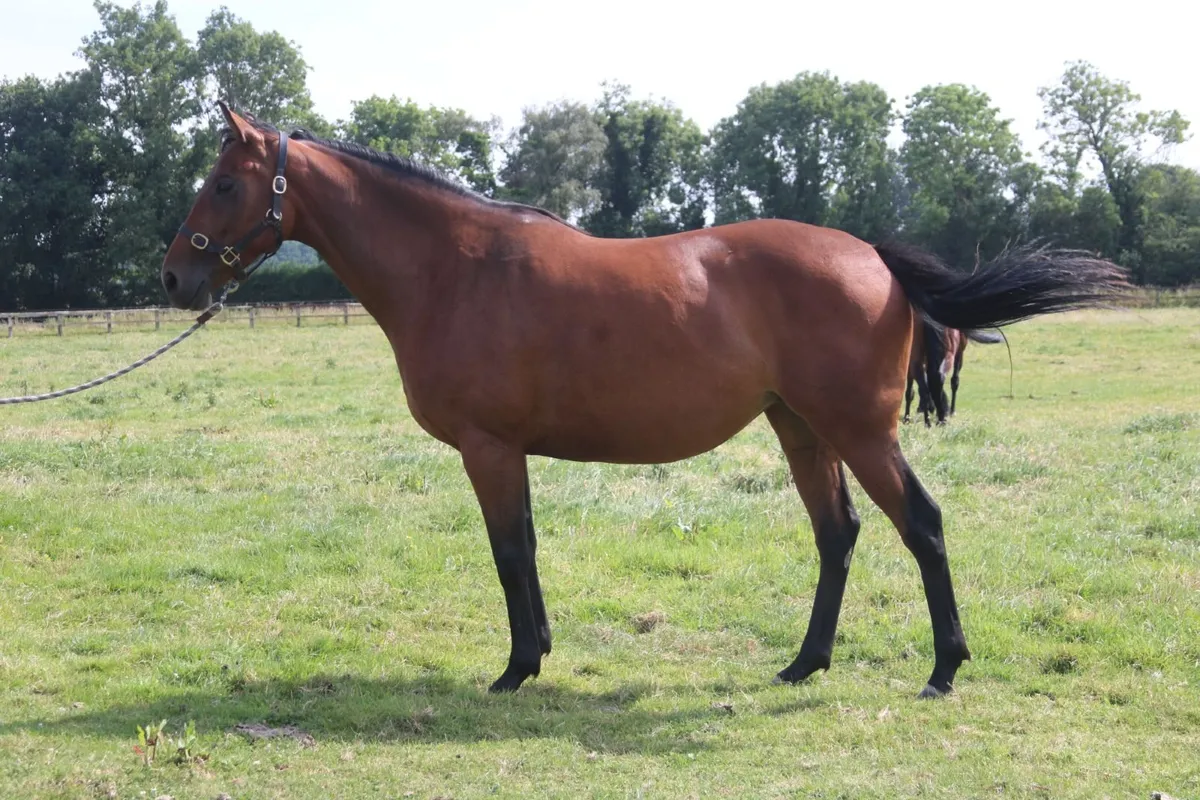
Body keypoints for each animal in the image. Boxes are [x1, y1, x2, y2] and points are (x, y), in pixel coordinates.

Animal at [160, 103, 1126, 699]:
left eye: (222, 184)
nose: (173, 276)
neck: (456, 268)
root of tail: (875, 257)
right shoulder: (508, 451)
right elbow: (527, 549)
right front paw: (539, 654)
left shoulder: (487, 448)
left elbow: (507, 552)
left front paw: (516, 668)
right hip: (802, 429)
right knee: (838, 535)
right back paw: (804, 663)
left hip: (858, 431)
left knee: (920, 524)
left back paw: (943, 668)